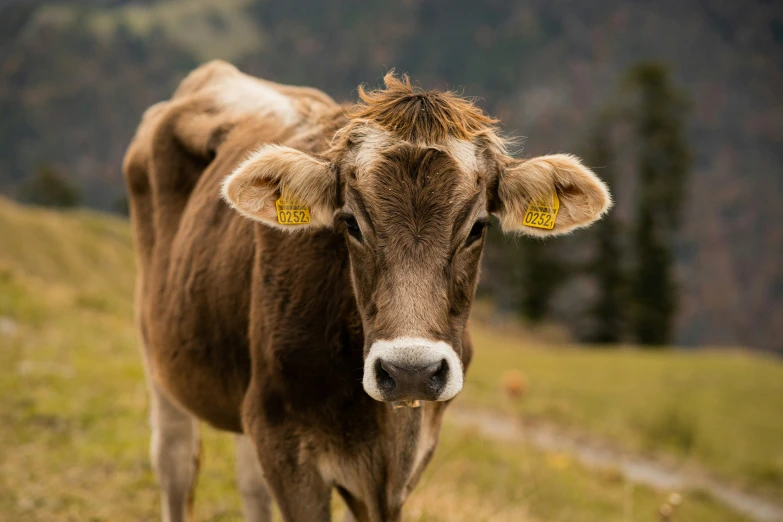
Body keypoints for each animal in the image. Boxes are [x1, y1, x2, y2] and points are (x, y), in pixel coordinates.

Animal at [122, 62, 612, 520]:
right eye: (351, 222)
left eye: (478, 227)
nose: (411, 371)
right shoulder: (285, 444)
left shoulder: (404, 464)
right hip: (157, 349)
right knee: (175, 463)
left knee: (249, 484)